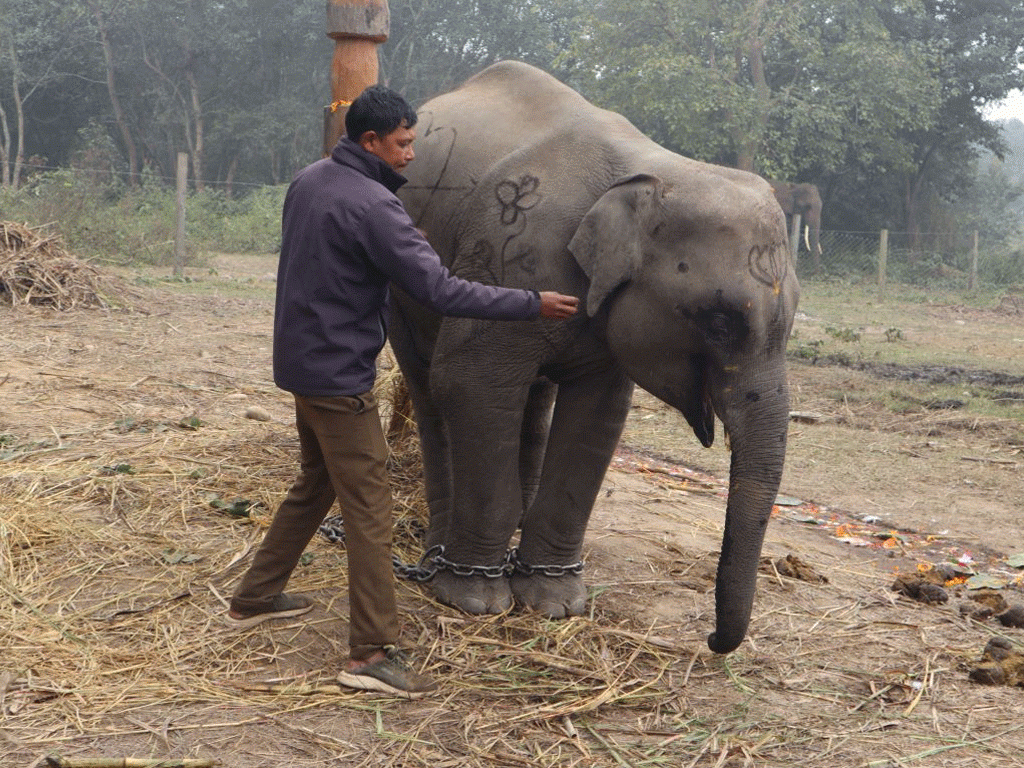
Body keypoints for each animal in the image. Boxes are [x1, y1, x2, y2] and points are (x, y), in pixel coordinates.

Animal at [391, 61, 798, 655]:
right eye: (721, 321)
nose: (710, 639)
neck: (653, 167)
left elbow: (597, 415)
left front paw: (553, 604)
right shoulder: (506, 251)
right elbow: (471, 384)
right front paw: (478, 603)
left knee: (533, 397)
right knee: (430, 386)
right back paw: (440, 557)